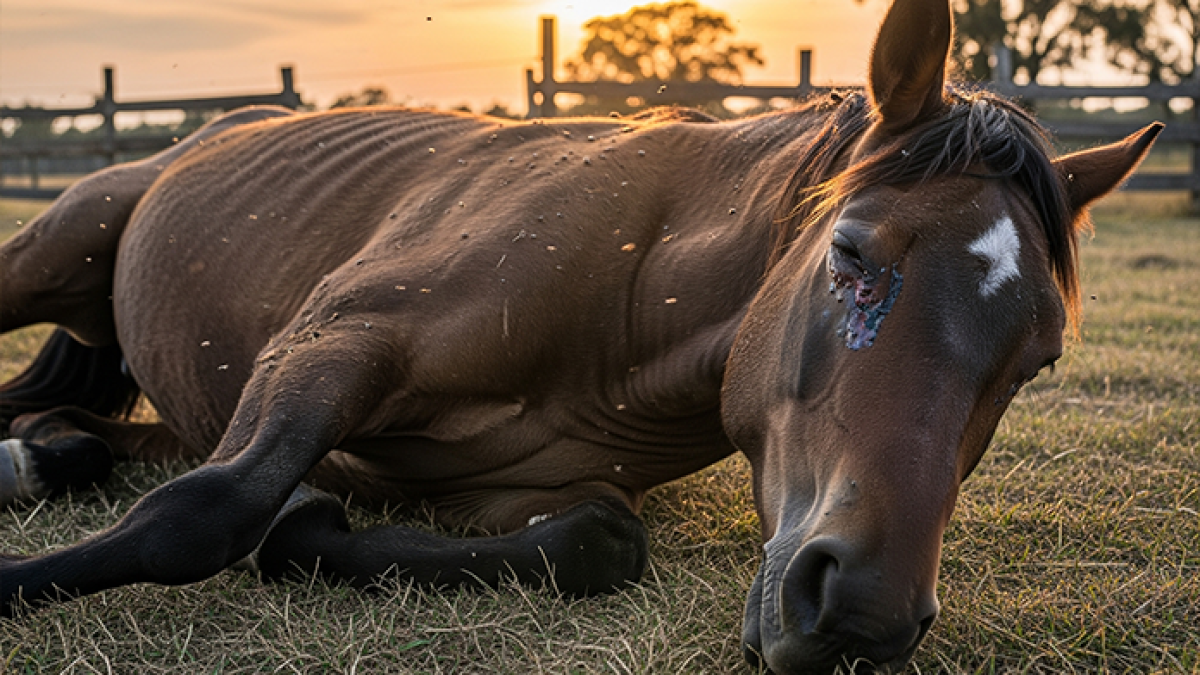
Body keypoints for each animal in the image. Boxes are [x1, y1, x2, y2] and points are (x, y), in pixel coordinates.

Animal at [0, 0, 1160, 671]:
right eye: (852, 254)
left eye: (1040, 361)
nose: (864, 614)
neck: (626, 299)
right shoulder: (332, 341)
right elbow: (205, 511)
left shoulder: (519, 493)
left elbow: (599, 543)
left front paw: (314, 526)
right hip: (54, 249)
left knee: (86, 432)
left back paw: (41, 456)